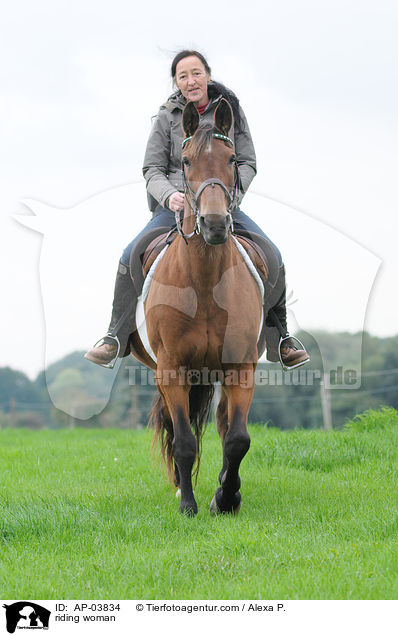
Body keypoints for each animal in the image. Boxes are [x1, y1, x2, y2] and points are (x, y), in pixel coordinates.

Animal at [133, 99, 264, 516]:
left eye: (232, 157)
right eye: (186, 161)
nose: (215, 224)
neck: (205, 284)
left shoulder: (240, 367)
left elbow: (237, 439)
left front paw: (226, 498)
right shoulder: (172, 368)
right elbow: (184, 440)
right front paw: (188, 505)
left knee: (223, 426)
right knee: (178, 429)